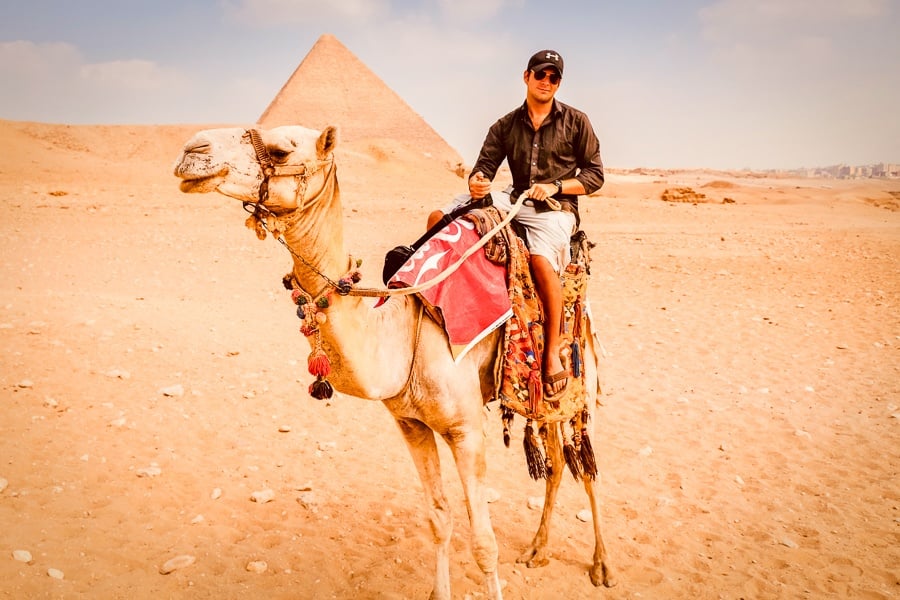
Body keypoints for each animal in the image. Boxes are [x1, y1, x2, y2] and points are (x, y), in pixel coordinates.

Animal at [172, 124, 616, 596]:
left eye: (279, 150)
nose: (192, 150)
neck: (404, 335)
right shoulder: (411, 424)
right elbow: (439, 519)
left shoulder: (465, 430)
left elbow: (484, 543)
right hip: (544, 405)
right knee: (556, 463)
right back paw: (537, 549)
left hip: (580, 378)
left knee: (587, 468)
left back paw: (601, 565)